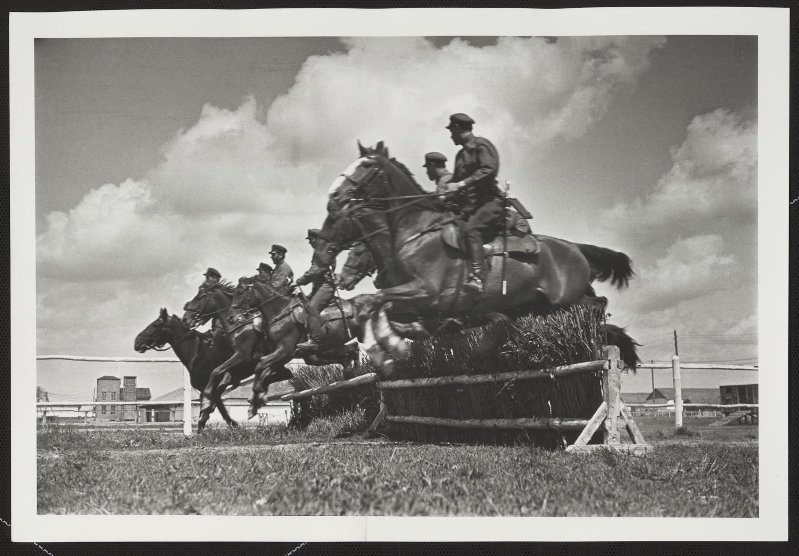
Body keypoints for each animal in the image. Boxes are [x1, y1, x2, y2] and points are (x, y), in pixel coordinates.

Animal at [310, 142, 640, 374]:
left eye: (365, 165)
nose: (333, 194)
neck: (413, 231)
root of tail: (575, 247)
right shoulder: (416, 302)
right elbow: (380, 307)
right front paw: (388, 345)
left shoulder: (429, 293)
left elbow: (373, 301)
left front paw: (386, 348)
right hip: (542, 304)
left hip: (565, 300)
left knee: (597, 306)